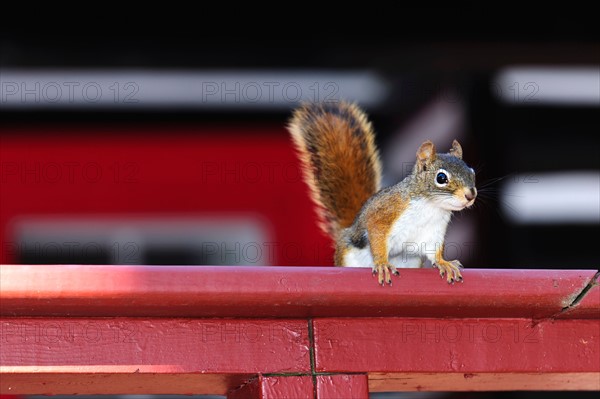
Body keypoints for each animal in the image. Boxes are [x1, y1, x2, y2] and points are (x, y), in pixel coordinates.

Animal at [288, 101, 476, 286]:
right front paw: (382, 264)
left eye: (472, 172)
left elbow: (434, 251)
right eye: (441, 178)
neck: (431, 206)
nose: (470, 195)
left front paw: (444, 263)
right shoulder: (386, 212)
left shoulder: (433, 232)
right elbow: (377, 237)